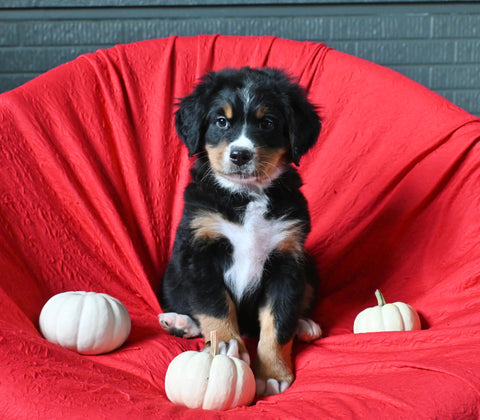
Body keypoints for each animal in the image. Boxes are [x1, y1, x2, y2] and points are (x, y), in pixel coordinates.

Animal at [158, 67, 322, 396]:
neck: (246, 196)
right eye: (221, 121)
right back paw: (179, 322)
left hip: (309, 268)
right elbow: (215, 306)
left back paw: (304, 324)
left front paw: (272, 373)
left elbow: (278, 321)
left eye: (267, 123)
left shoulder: (287, 259)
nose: (240, 155)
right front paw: (224, 345)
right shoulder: (200, 253)